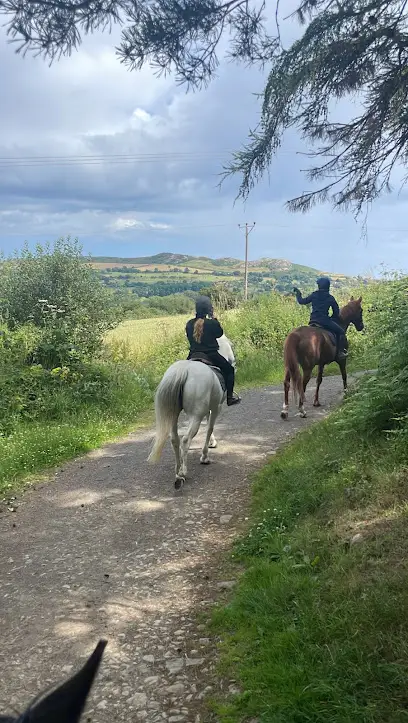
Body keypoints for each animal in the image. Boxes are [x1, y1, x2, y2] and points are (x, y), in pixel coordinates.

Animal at [147, 336, 236, 492]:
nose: (233, 361)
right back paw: (183, 473)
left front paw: (212, 443)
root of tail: (183, 370)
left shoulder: (209, 408)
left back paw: (177, 471)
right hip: (195, 416)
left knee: (175, 440)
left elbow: (209, 424)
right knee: (185, 439)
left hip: (174, 415)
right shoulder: (216, 407)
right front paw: (205, 456)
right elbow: (210, 427)